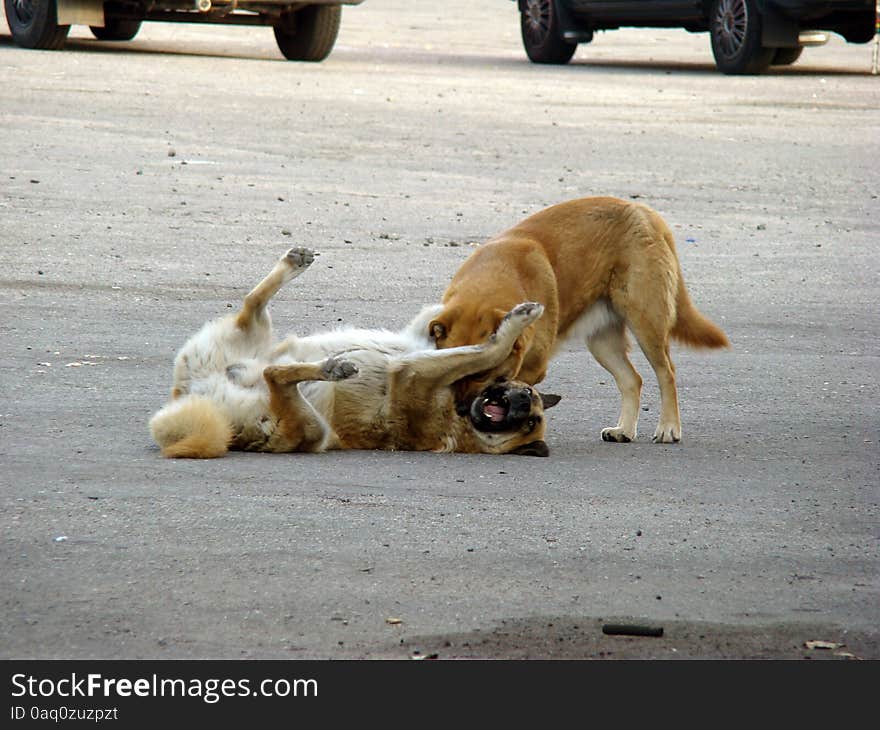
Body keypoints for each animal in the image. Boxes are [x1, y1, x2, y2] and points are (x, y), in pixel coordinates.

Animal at [150, 247, 560, 458]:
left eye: (529, 422)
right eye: (527, 394)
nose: (521, 402)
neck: (462, 419)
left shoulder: (414, 371)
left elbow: (490, 349)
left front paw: (512, 327)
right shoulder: (422, 343)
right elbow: (458, 333)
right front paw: (510, 318)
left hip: (310, 429)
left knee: (275, 374)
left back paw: (331, 369)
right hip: (248, 336)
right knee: (253, 304)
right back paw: (294, 264)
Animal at [428, 196, 728, 440]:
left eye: (482, 374)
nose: (462, 410)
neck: (496, 276)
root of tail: (645, 212)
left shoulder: (533, 367)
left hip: (646, 323)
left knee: (667, 373)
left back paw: (668, 427)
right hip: (602, 343)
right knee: (632, 380)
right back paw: (624, 430)